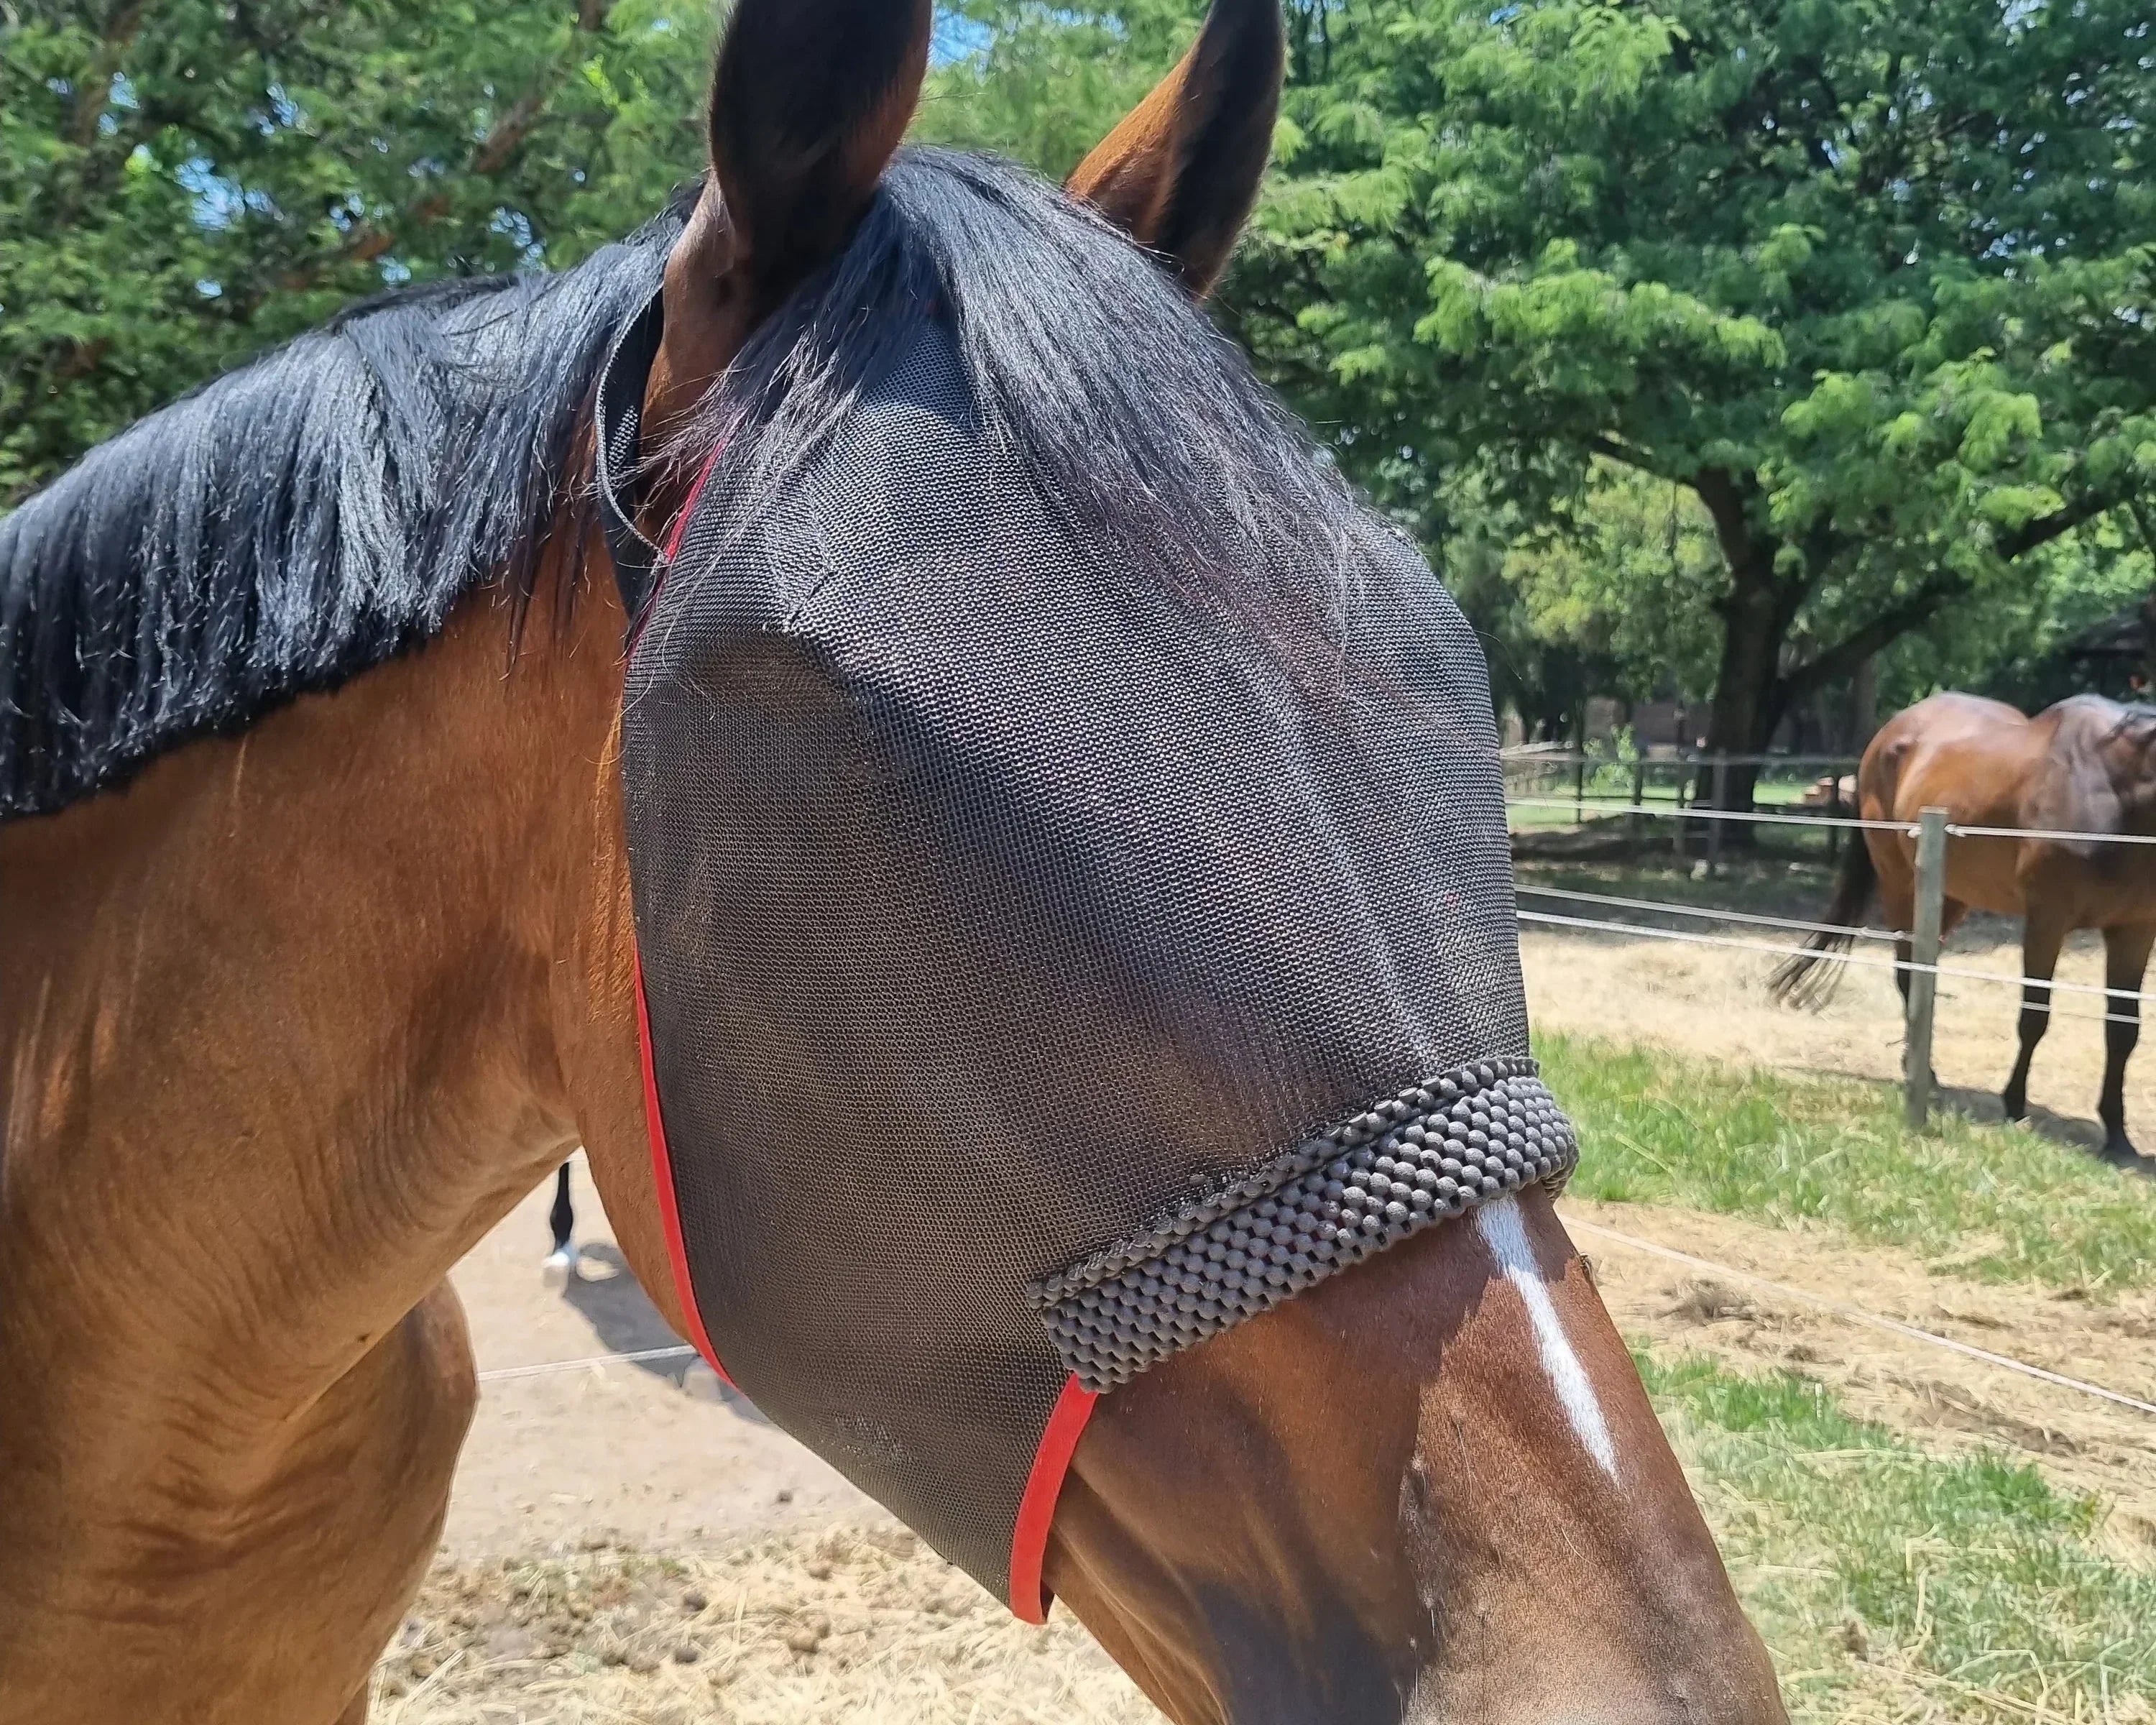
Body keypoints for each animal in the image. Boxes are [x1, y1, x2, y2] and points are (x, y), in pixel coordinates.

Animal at [1774, 691, 2156, 1167]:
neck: (2114, 789)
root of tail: (1888, 734)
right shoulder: (2047, 921)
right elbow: (2034, 1016)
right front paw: (2014, 1105)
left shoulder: (2135, 930)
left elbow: (2123, 1031)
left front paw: (2118, 1137)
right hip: (1901, 885)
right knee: (1908, 974)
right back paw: (1925, 1074)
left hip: (1952, 896)